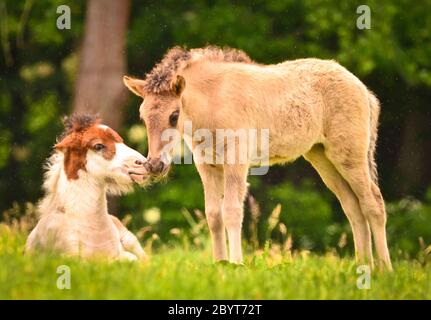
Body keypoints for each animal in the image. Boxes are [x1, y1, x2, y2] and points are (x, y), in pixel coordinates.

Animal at [27, 114, 149, 260]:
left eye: (121, 141)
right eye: (98, 146)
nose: (143, 163)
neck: (94, 231)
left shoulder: (120, 254)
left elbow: (132, 259)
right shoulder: (72, 257)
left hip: (130, 240)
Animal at [123, 45, 394, 270]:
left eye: (174, 115)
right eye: (142, 116)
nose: (154, 165)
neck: (214, 101)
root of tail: (363, 89)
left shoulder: (236, 162)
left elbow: (232, 211)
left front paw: (236, 265)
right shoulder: (208, 166)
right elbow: (213, 215)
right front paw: (220, 264)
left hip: (349, 156)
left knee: (372, 202)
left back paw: (385, 270)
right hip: (322, 158)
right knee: (352, 206)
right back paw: (363, 267)